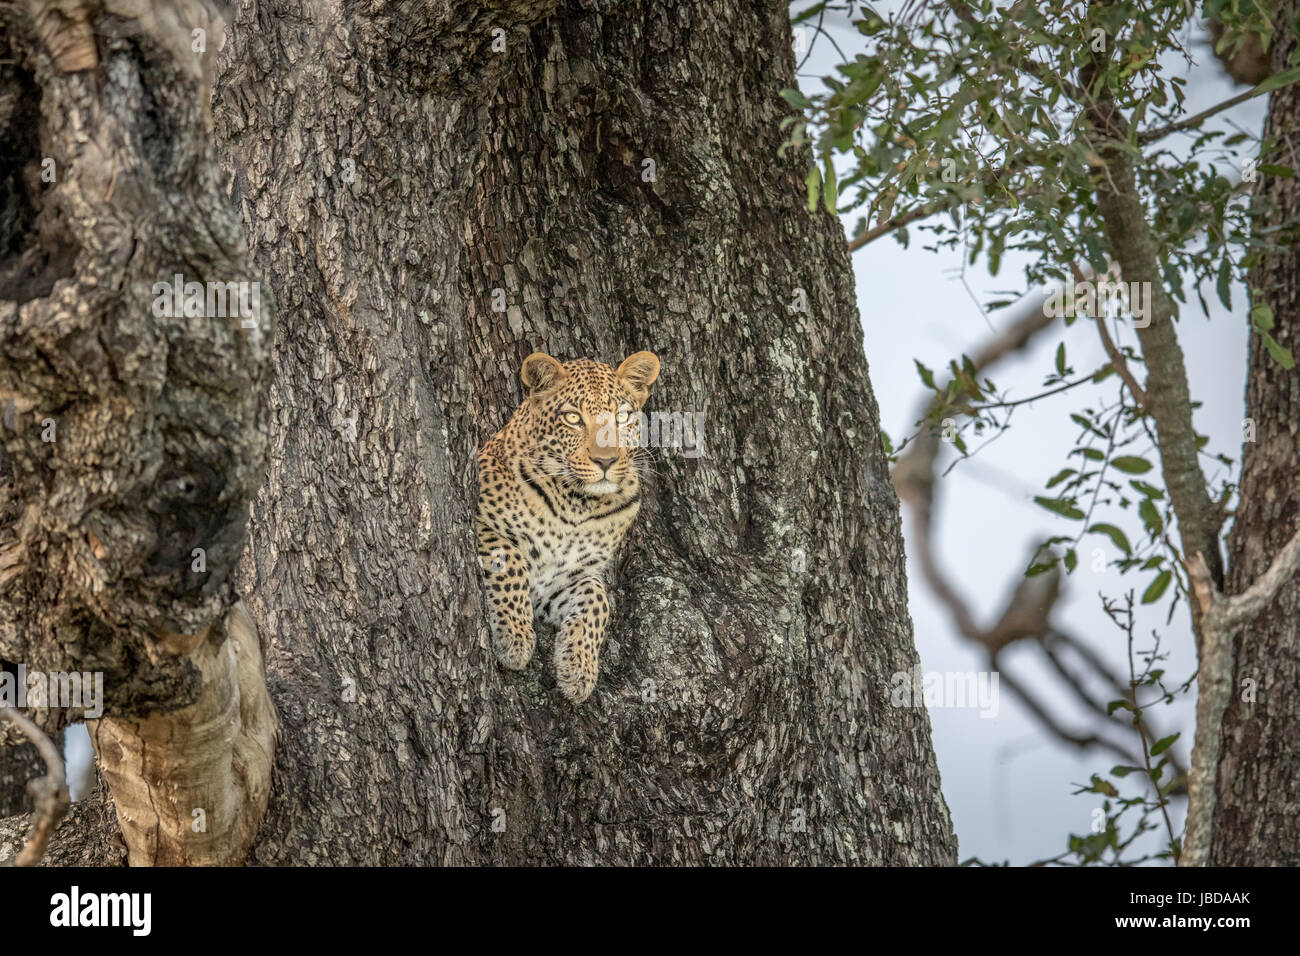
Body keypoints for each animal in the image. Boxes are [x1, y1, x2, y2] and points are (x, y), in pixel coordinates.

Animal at [476, 350, 660, 704]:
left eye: (621, 417)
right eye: (573, 418)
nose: (606, 461)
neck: (577, 505)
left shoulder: (568, 577)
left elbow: (598, 600)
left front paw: (578, 669)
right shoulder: (481, 522)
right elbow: (511, 560)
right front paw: (515, 638)